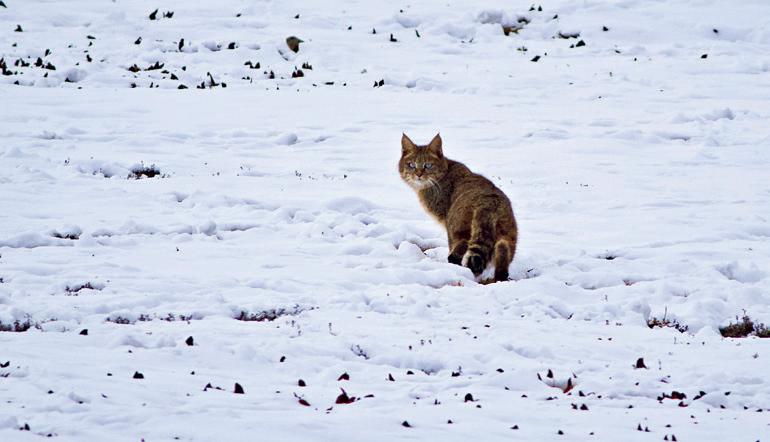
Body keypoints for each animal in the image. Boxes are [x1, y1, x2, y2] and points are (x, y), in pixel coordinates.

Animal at [396, 133, 516, 282]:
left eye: (428, 165)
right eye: (411, 165)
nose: (418, 174)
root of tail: (489, 201)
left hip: (458, 228)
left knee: (460, 250)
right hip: (508, 236)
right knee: (503, 252)